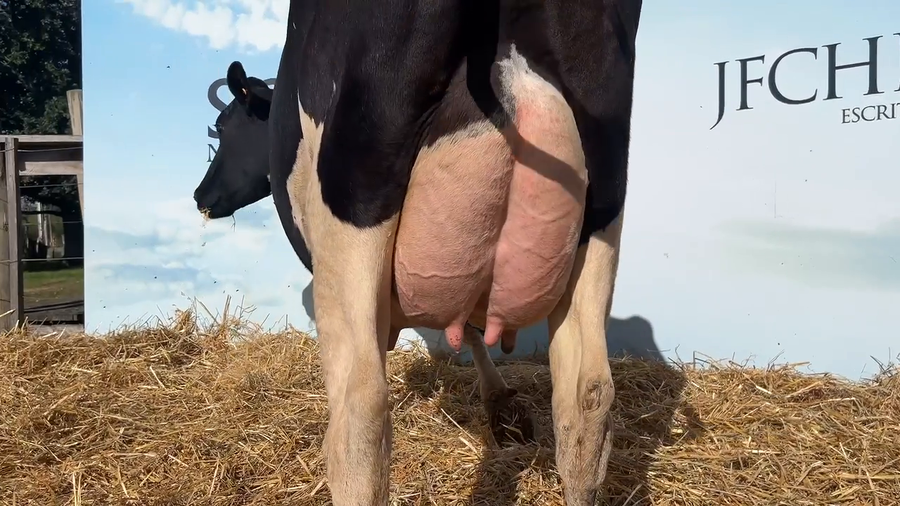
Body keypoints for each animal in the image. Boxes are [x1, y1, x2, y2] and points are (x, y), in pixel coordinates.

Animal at [193, 0, 643, 504]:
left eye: (224, 128)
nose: (200, 195)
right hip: (602, 206)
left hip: (353, 198)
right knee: (588, 395)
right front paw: (502, 407)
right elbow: (470, 329)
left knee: (361, 411)